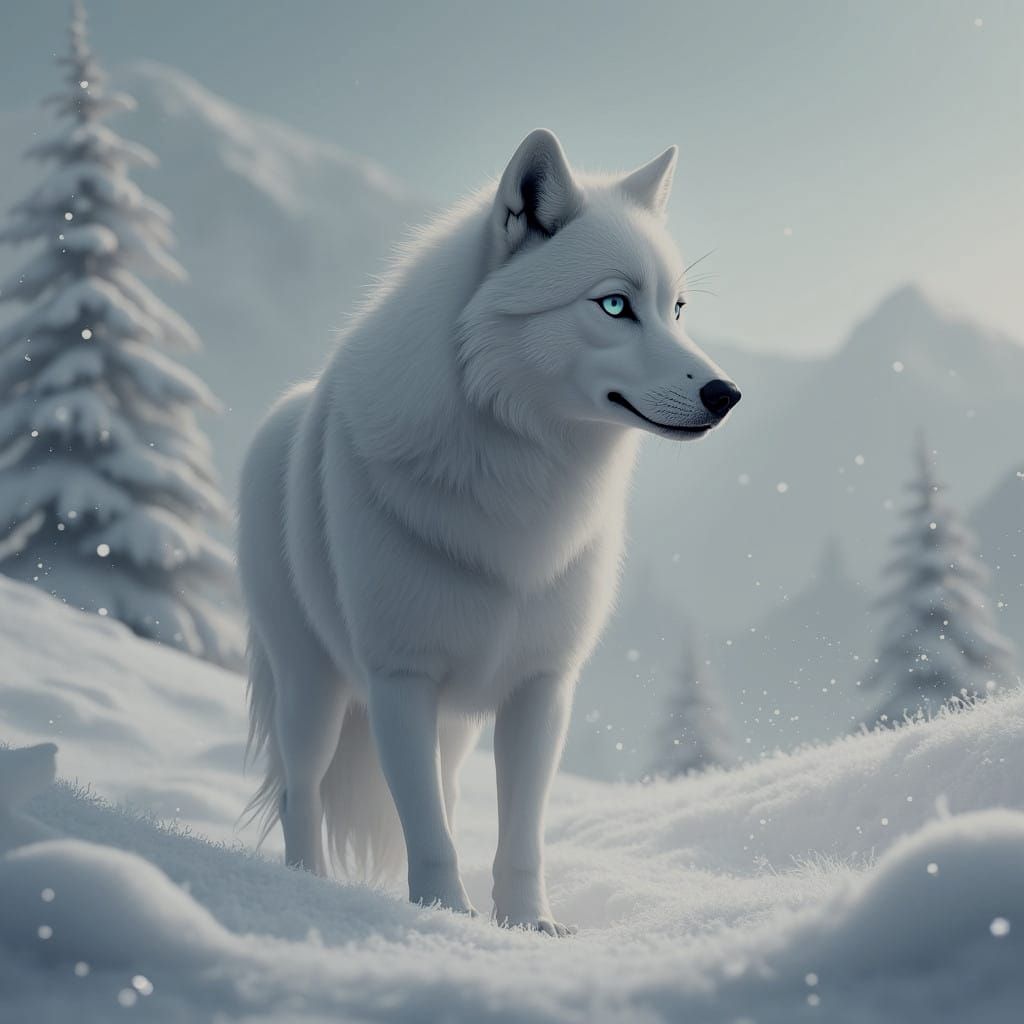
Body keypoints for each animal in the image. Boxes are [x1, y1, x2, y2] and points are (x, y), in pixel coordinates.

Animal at [238, 129, 740, 934]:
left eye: (678, 309)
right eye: (614, 305)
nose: (726, 394)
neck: (518, 477)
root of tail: (280, 412)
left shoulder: (542, 686)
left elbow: (518, 832)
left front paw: (527, 923)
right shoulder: (399, 677)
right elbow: (426, 831)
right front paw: (444, 915)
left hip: (451, 725)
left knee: (437, 792)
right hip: (314, 691)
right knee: (299, 791)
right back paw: (306, 885)